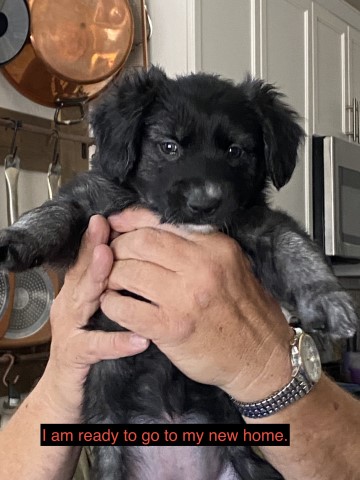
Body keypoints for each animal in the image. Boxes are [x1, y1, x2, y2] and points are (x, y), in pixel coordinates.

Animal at [0, 67, 358, 480]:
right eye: (169, 147)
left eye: (235, 151)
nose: (204, 203)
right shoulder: (91, 206)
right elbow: (54, 214)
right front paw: (16, 238)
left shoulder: (257, 223)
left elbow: (294, 246)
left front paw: (328, 297)